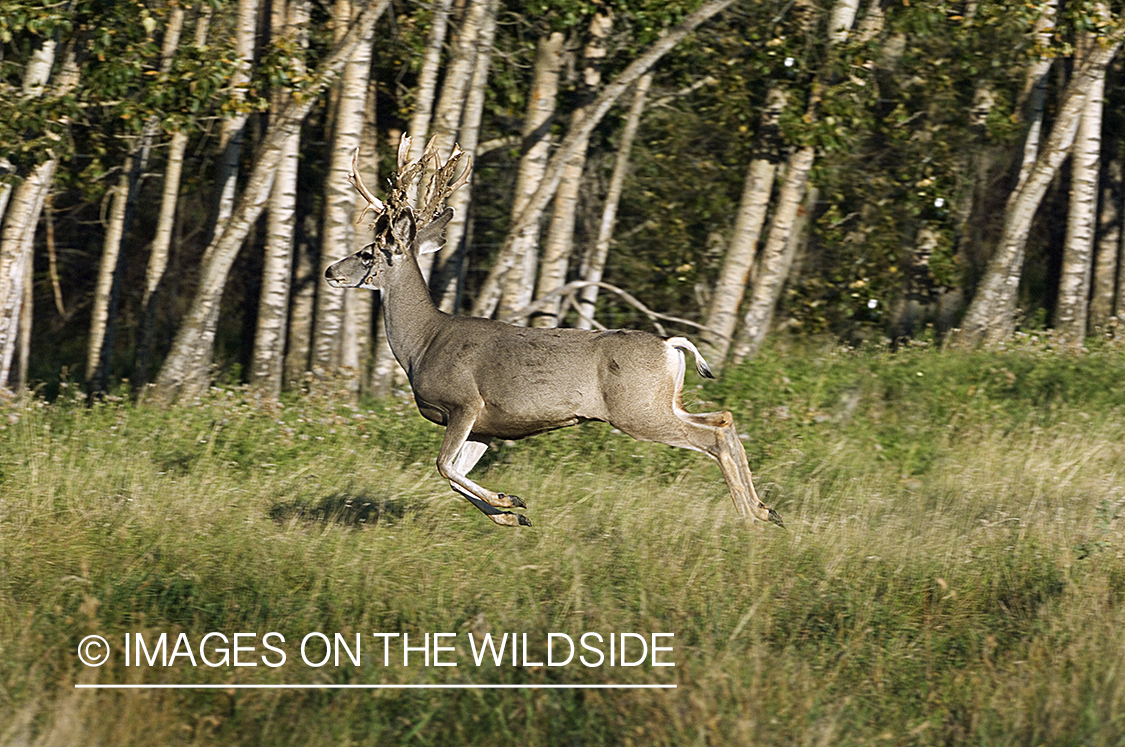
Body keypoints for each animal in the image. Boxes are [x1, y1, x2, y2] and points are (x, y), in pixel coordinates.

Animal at [326, 135, 783, 531]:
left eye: (367, 252)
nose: (331, 270)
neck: (422, 344)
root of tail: (670, 345)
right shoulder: (488, 425)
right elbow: (453, 473)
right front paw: (510, 514)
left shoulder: (465, 402)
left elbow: (443, 466)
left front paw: (508, 501)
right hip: (664, 402)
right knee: (723, 418)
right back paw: (766, 509)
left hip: (636, 410)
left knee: (712, 436)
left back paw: (751, 516)